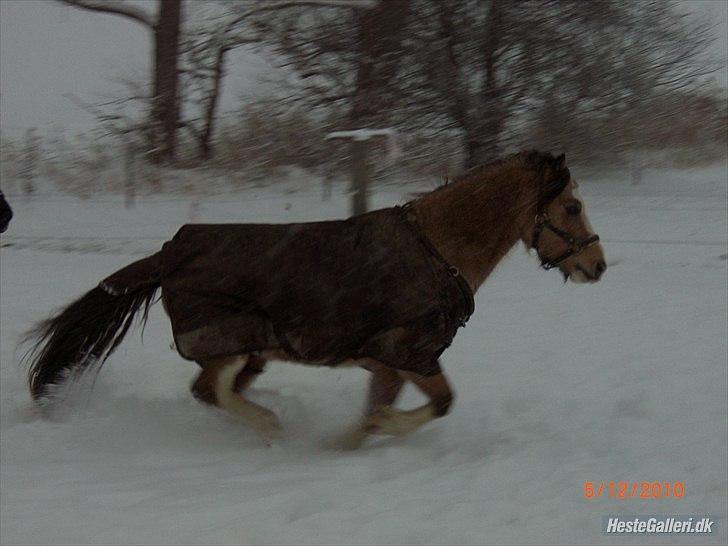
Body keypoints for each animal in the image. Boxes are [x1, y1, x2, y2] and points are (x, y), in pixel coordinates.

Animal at [21, 150, 604, 446]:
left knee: (212, 391)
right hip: (232, 340)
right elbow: (436, 403)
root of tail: (170, 251)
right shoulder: (406, 353)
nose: (597, 265)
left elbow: (403, 410)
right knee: (210, 389)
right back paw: (271, 426)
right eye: (572, 208)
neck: (438, 251)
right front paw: (369, 434)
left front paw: (363, 435)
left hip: (250, 352)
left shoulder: (392, 363)